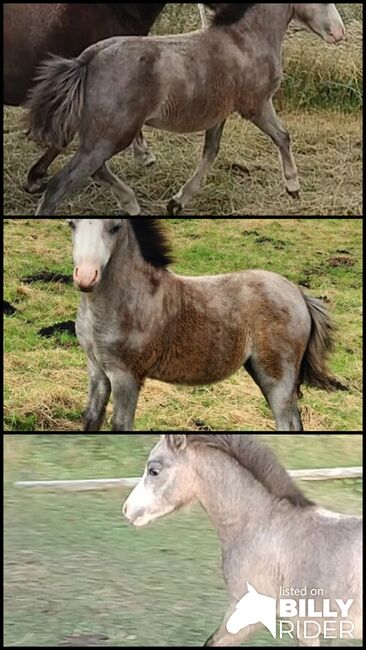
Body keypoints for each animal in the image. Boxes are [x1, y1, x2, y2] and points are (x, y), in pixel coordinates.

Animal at [27, 3, 344, 215]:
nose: (339, 34)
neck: (245, 39)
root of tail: (89, 58)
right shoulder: (256, 106)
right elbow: (283, 136)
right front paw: (293, 187)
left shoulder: (219, 113)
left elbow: (211, 152)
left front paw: (177, 202)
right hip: (111, 136)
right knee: (61, 186)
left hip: (104, 137)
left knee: (95, 170)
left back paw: (131, 204)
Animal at [66, 218, 346, 430]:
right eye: (71, 224)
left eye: (115, 227)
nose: (86, 277)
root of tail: (298, 293)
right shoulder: (97, 369)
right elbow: (91, 418)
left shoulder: (127, 376)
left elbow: (121, 425)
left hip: (278, 377)